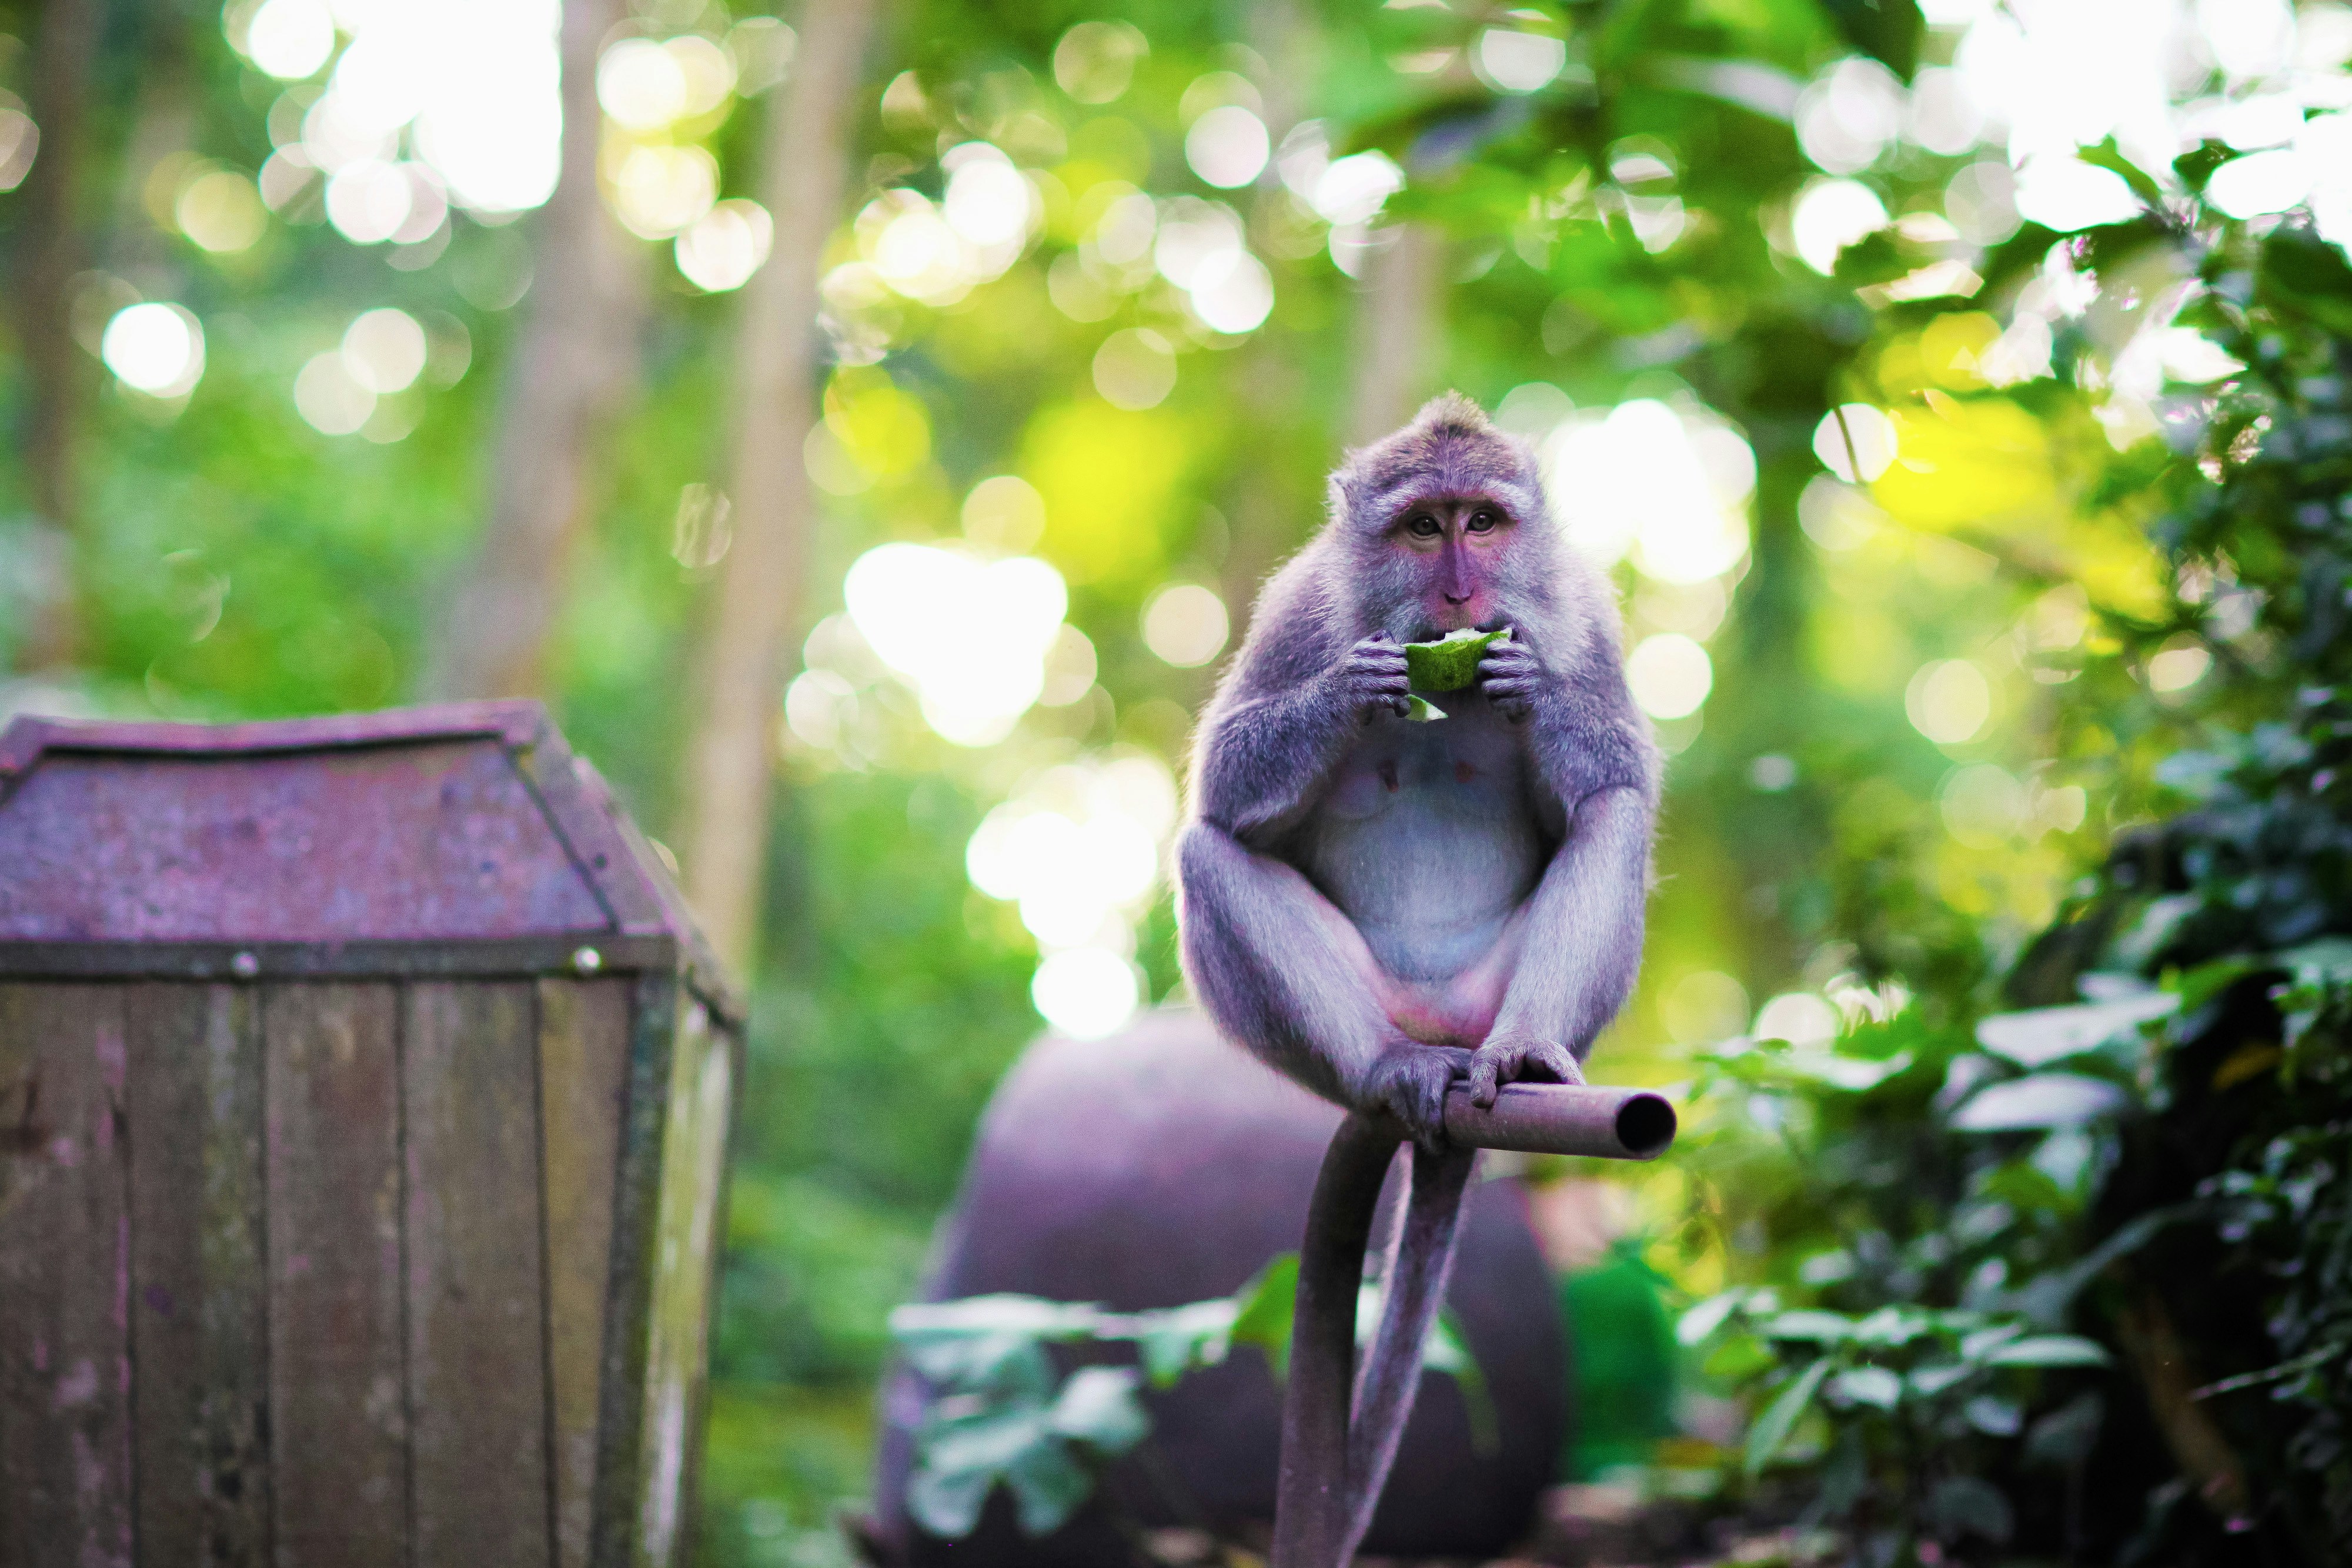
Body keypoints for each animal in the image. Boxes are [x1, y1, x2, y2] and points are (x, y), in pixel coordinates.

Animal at [1173, 392, 1657, 1558]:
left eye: (1482, 520)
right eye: (1421, 527)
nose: (1460, 593)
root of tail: (1449, 1031)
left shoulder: (1584, 613)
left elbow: (1614, 774)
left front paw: (1535, 693)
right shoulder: (1299, 611)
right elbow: (1227, 785)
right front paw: (1350, 694)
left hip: (1504, 1000)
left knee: (1615, 817)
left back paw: (1523, 1056)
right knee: (1209, 852)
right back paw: (1390, 1067)